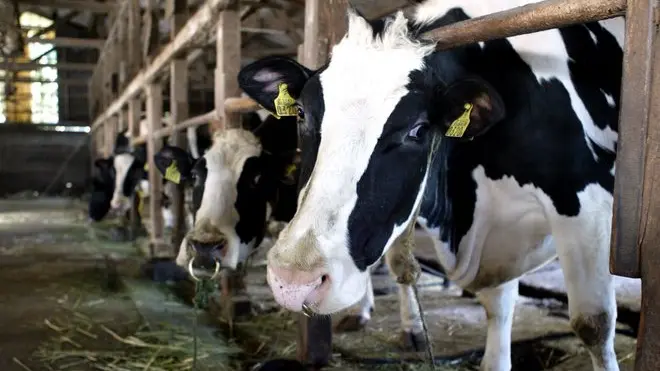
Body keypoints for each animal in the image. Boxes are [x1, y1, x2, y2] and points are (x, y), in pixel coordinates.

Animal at [236, 1, 624, 370]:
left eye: (419, 130)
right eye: (302, 113)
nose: (293, 280)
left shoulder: (586, 206)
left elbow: (593, 322)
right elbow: (496, 304)